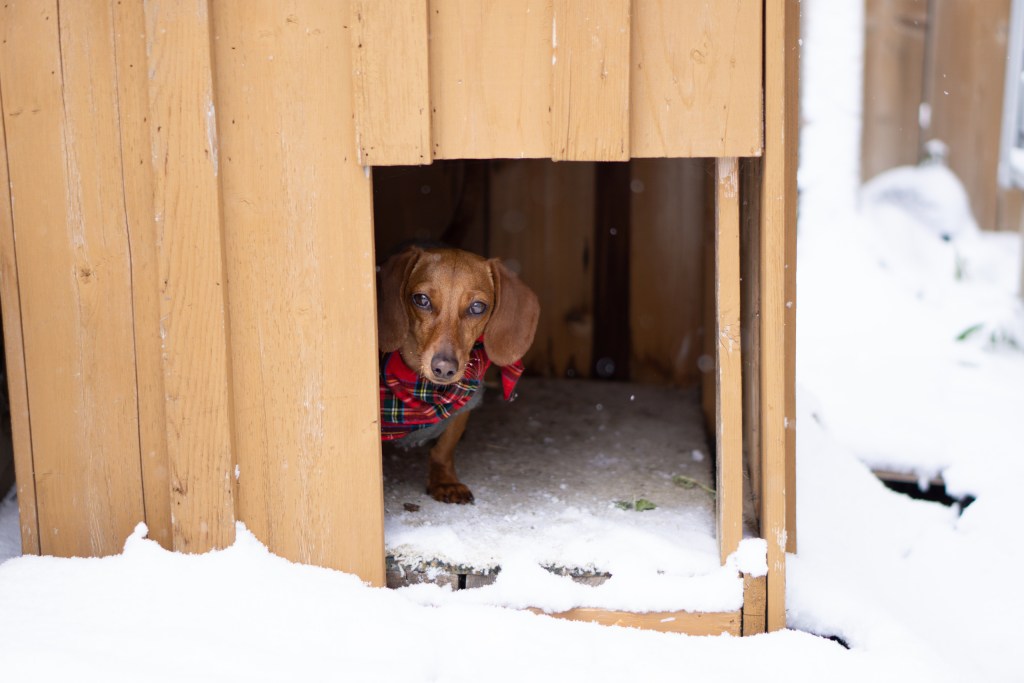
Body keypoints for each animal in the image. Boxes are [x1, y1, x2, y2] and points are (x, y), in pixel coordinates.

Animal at [374, 248, 536, 505]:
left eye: (477, 306)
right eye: (421, 299)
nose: (444, 368)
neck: (425, 393)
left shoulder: (464, 406)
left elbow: (444, 448)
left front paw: (445, 482)